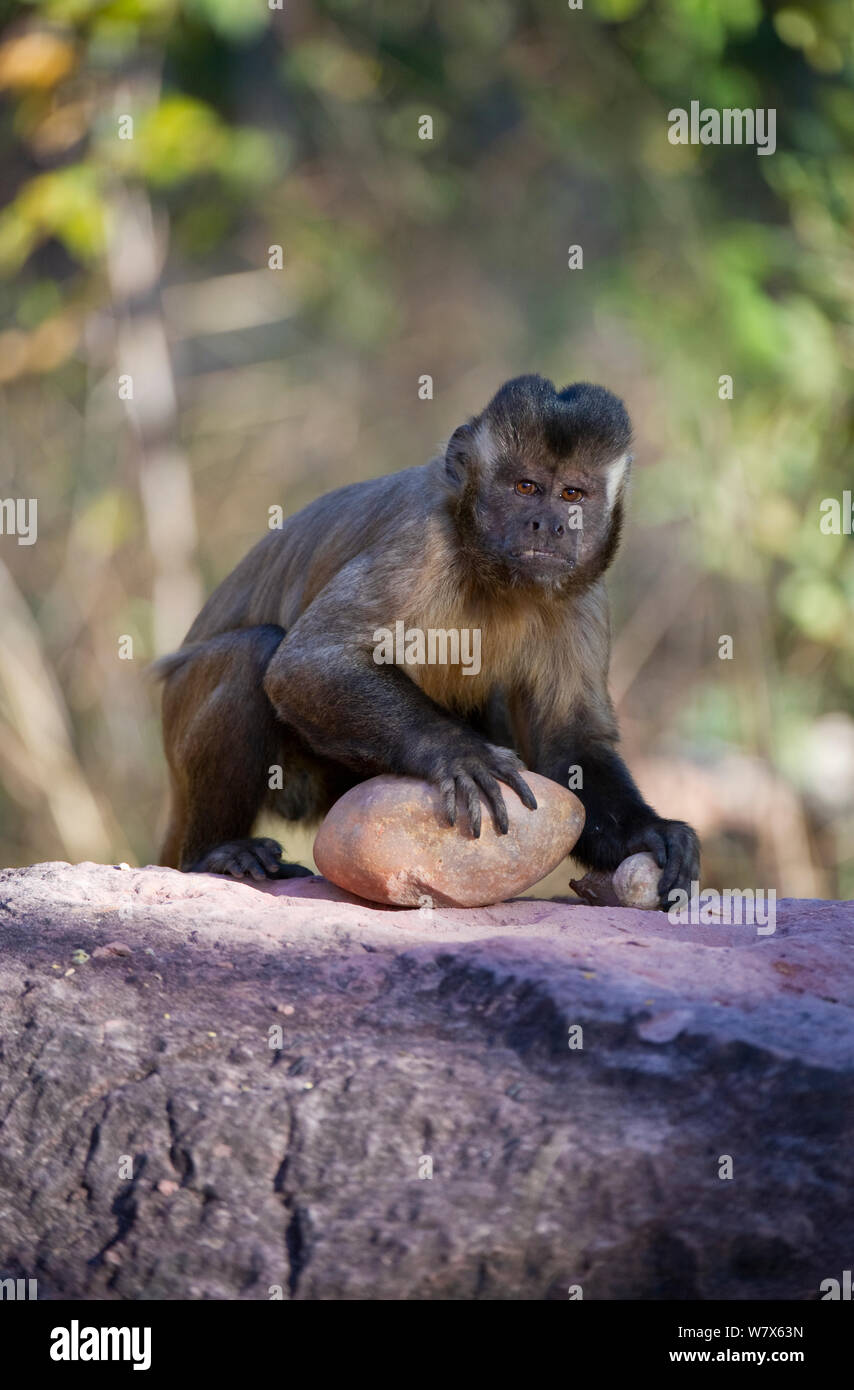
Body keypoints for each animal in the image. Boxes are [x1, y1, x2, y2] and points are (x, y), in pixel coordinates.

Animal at [159, 375, 703, 906]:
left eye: (572, 496)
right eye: (526, 487)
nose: (547, 525)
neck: (498, 579)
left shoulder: (584, 590)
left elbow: (569, 745)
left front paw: (649, 833)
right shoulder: (425, 540)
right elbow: (306, 663)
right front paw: (458, 753)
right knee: (251, 652)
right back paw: (217, 851)